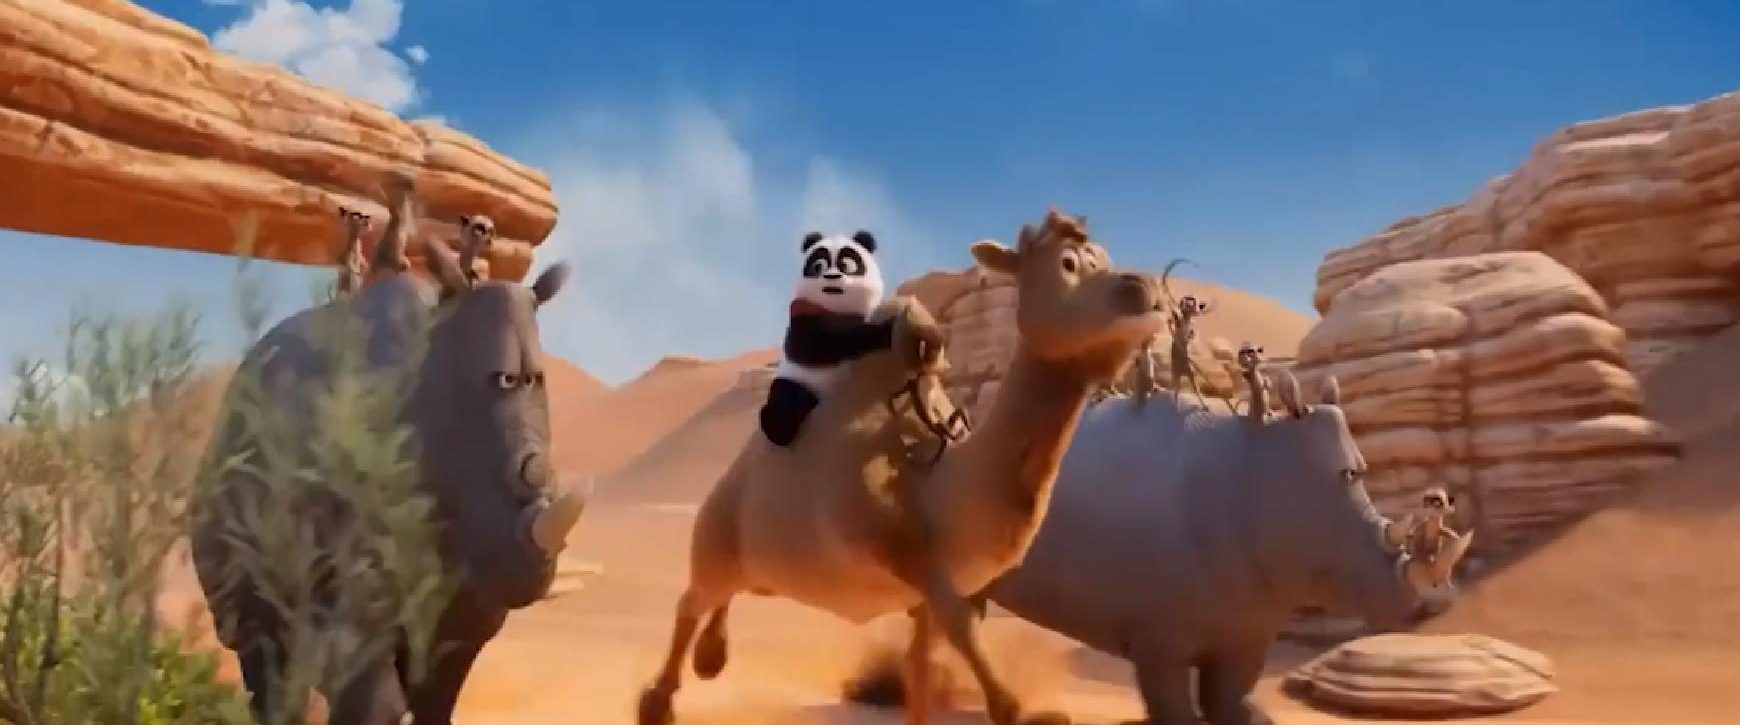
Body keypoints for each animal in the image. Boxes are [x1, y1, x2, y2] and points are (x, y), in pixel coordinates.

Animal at [759, 230, 891, 448]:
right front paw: (883, 330)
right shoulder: (802, 314)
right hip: (798, 382)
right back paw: (776, 427)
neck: (836, 311)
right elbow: (811, 346)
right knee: (786, 400)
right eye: (818, 265)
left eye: (846, 265)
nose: (831, 276)